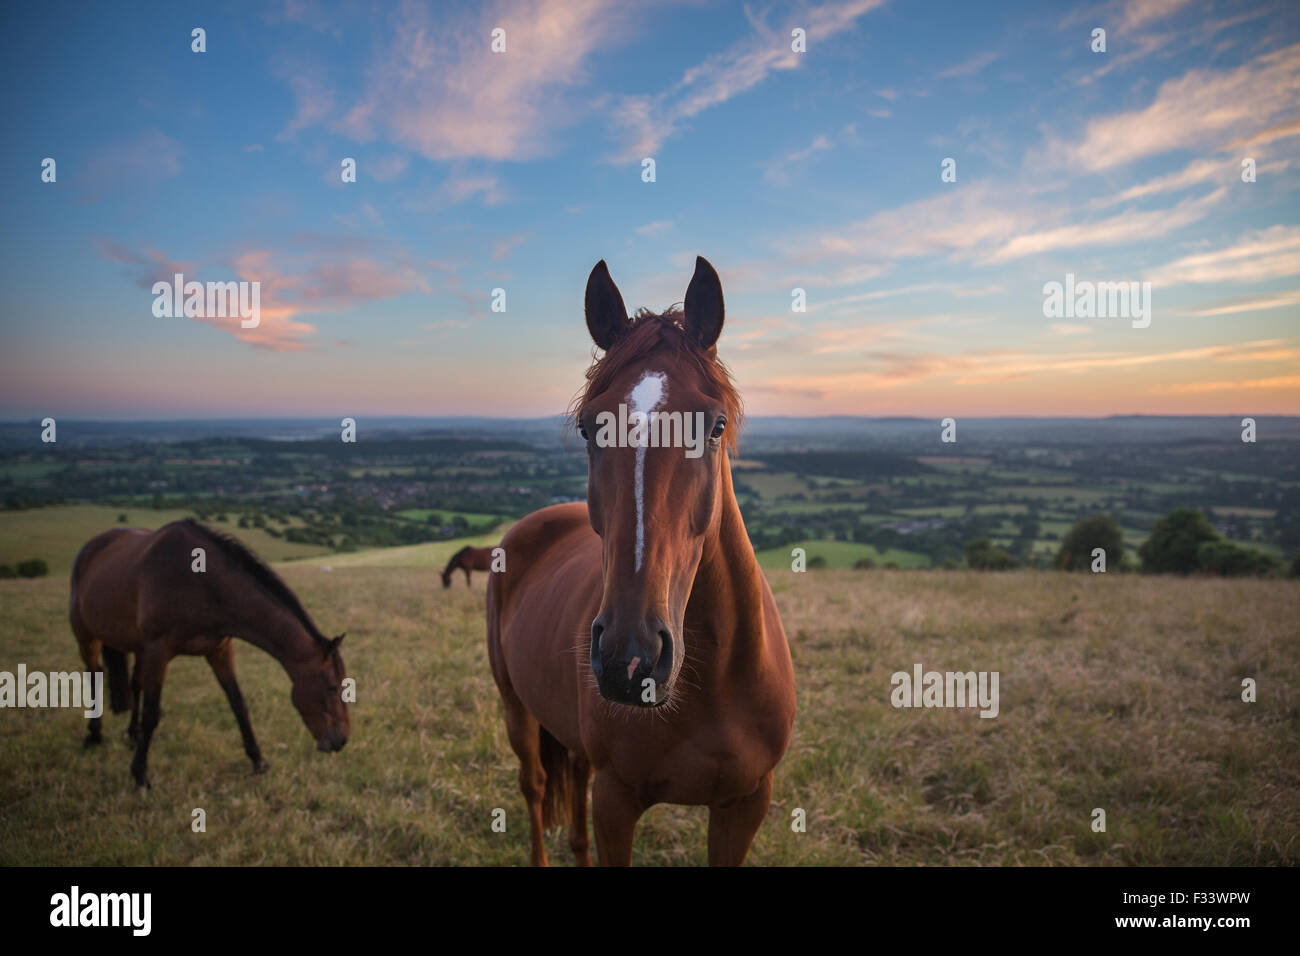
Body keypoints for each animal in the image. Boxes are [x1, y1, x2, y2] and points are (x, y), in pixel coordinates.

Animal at [68, 520, 348, 790]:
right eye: (332, 687)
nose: (341, 741)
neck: (202, 583)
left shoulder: (219, 650)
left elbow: (239, 705)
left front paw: (258, 761)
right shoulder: (158, 651)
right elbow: (152, 714)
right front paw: (139, 775)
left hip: (138, 647)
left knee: (134, 685)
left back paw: (132, 735)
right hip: (86, 635)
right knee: (94, 676)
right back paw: (94, 735)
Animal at [486, 256, 790, 868]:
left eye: (715, 426)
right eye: (588, 427)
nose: (632, 658)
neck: (712, 684)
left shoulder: (746, 804)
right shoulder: (617, 800)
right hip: (517, 710)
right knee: (535, 788)